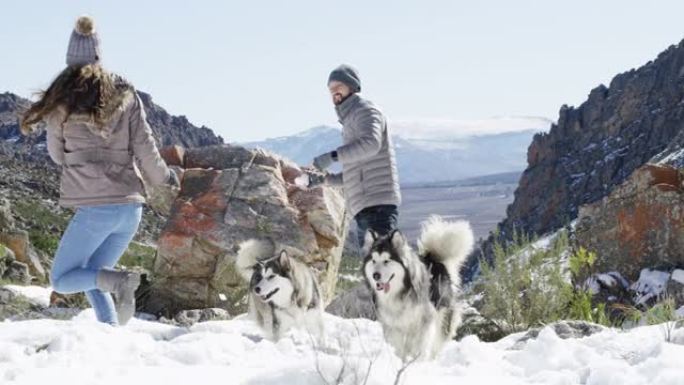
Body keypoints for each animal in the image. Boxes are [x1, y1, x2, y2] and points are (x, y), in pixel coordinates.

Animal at [360, 214, 472, 358]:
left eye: (386, 261)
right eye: (373, 261)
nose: (375, 276)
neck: (398, 293)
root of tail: (433, 259)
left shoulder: (424, 323)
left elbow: (419, 347)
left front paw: (417, 360)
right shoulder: (393, 327)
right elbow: (399, 350)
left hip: (442, 315)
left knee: (438, 340)